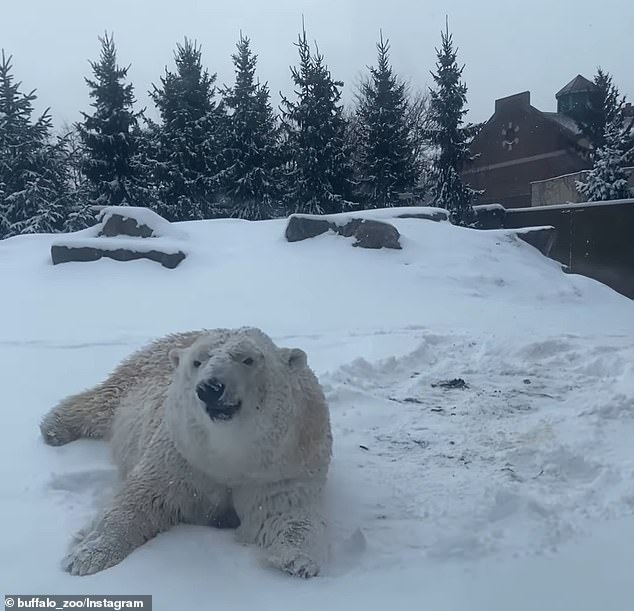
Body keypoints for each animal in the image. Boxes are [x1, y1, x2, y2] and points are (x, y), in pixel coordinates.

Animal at [40, 326, 330, 580]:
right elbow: (140, 498)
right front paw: (86, 556)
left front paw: (296, 561)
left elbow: (281, 511)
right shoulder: (181, 455)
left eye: (248, 359)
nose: (210, 388)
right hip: (140, 371)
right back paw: (54, 427)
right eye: (198, 362)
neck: (230, 453)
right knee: (104, 400)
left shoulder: (283, 466)